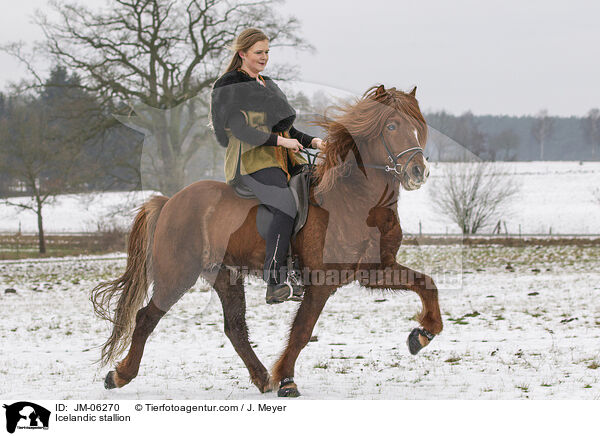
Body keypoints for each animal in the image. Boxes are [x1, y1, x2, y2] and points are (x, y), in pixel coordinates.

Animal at [91, 83, 442, 396]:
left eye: (418, 126)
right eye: (392, 125)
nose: (418, 172)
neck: (354, 200)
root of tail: (169, 202)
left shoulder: (374, 270)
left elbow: (426, 284)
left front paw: (422, 334)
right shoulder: (321, 283)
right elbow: (301, 331)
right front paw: (287, 380)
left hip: (224, 276)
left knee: (234, 328)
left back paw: (261, 378)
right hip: (177, 274)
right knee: (146, 318)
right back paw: (120, 375)